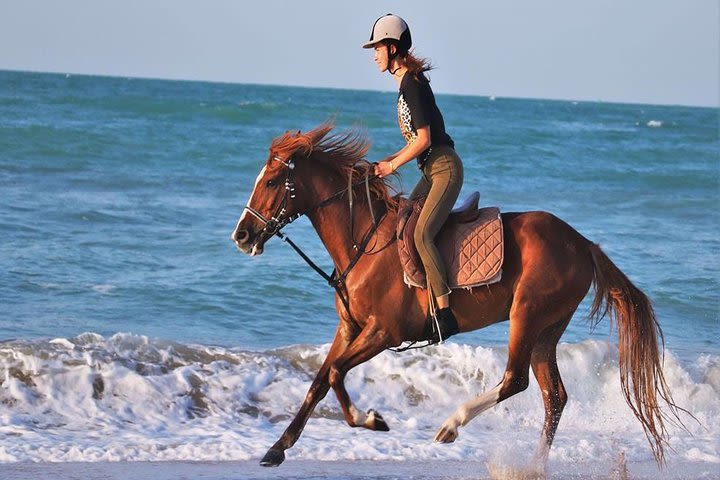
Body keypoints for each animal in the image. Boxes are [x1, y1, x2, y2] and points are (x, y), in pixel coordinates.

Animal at [232, 122, 680, 470]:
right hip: (548, 329)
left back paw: (451, 425)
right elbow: (319, 383)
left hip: (528, 315)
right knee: (554, 397)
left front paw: (372, 419)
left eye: (271, 181)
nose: (242, 235)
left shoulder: (383, 333)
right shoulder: (349, 329)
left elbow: (337, 374)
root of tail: (582, 243)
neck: (364, 241)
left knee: (515, 380)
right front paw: (276, 449)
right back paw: (534, 465)